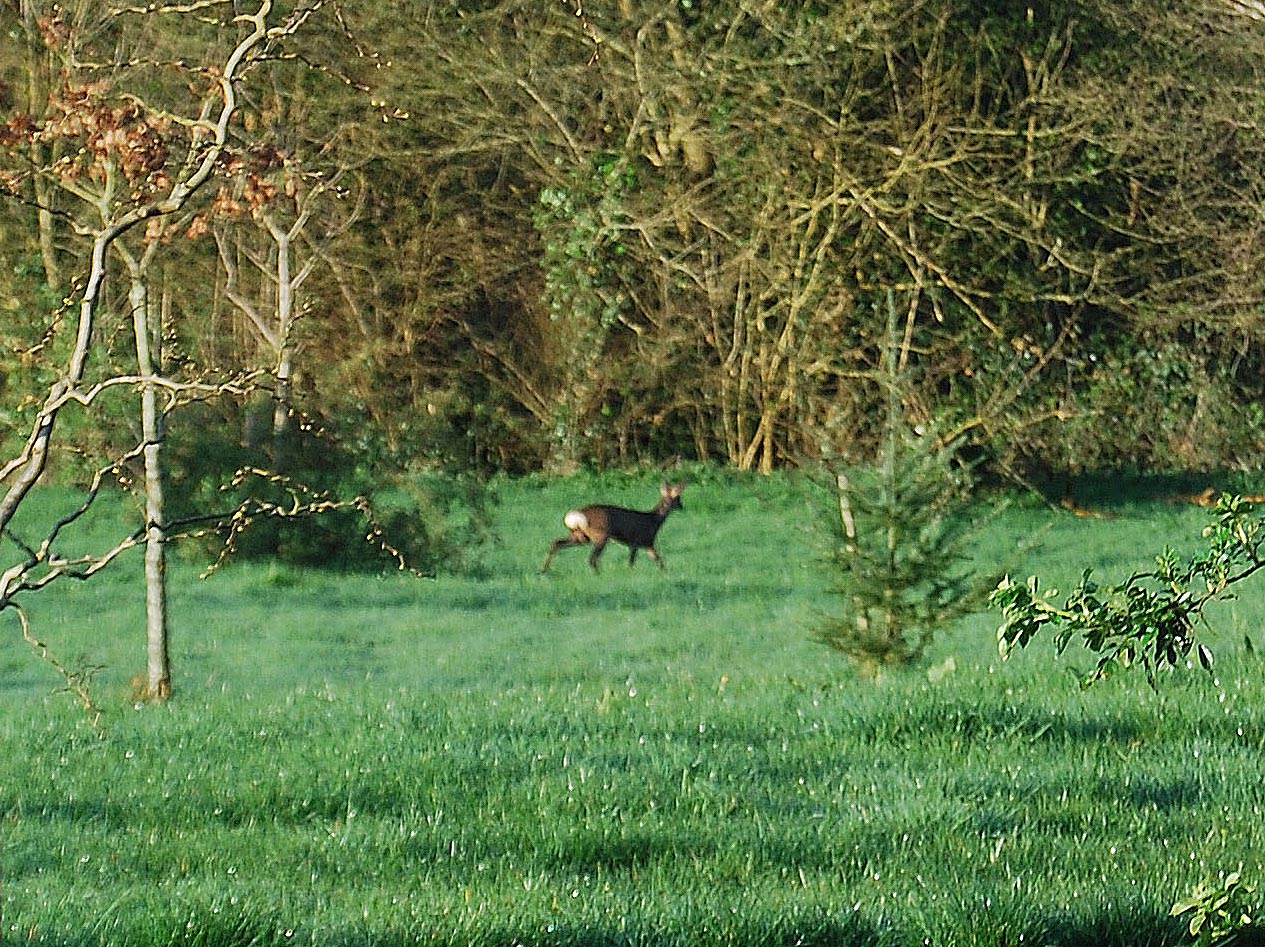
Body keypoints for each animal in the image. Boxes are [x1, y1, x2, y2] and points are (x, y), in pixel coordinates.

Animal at [541, 480, 688, 568]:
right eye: (678, 498)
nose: (682, 506)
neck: (654, 521)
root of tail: (577, 514)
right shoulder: (638, 541)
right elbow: (632, 562)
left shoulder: (646, 544)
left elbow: (659, 561)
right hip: (600, 535)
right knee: (592, 559)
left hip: (580, 536)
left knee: (556, 543)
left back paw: (544, 570)